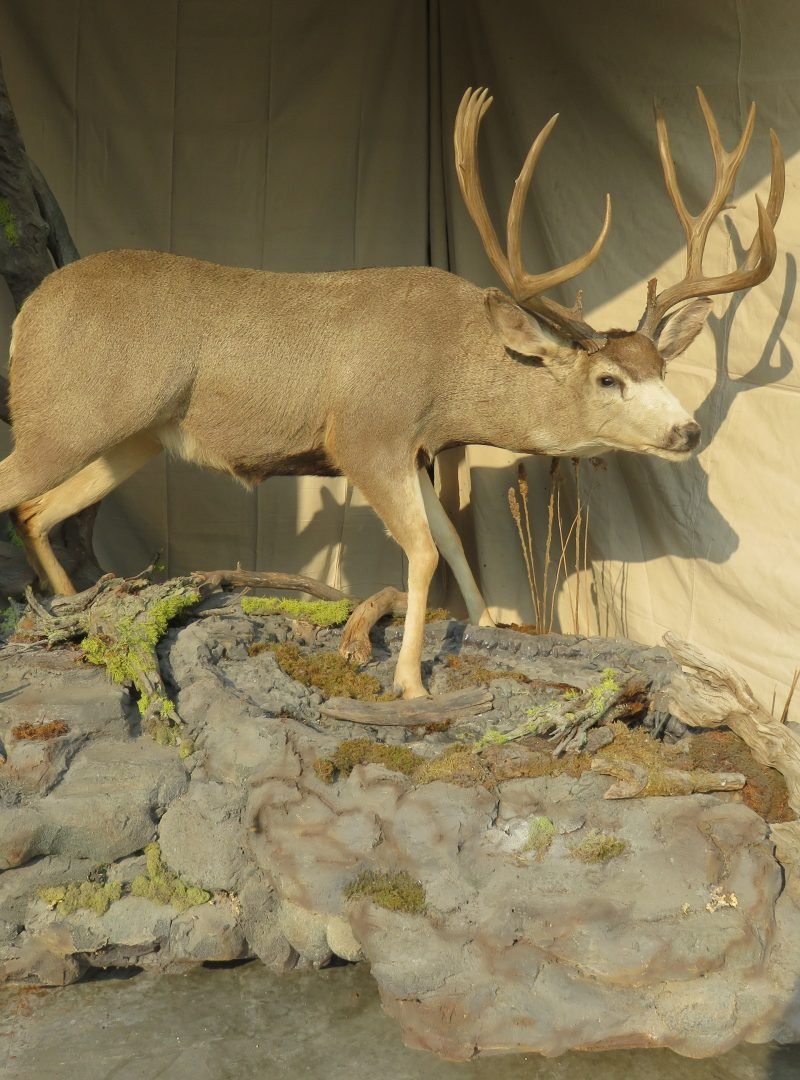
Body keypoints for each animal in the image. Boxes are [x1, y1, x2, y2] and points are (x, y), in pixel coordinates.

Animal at [0, 87, 784, 699]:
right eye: (608, 378)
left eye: (661, 369)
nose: (688, 432)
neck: (450, 369)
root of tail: (26, 315)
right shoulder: (364, 435)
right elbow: (423, 554)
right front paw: (409, 681)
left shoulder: (416, 451)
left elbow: (453, 545)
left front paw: (490, 624)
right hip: (62, 418)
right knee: (19, 494)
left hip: (129, 437)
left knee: (37, 510)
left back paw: (71, 615)